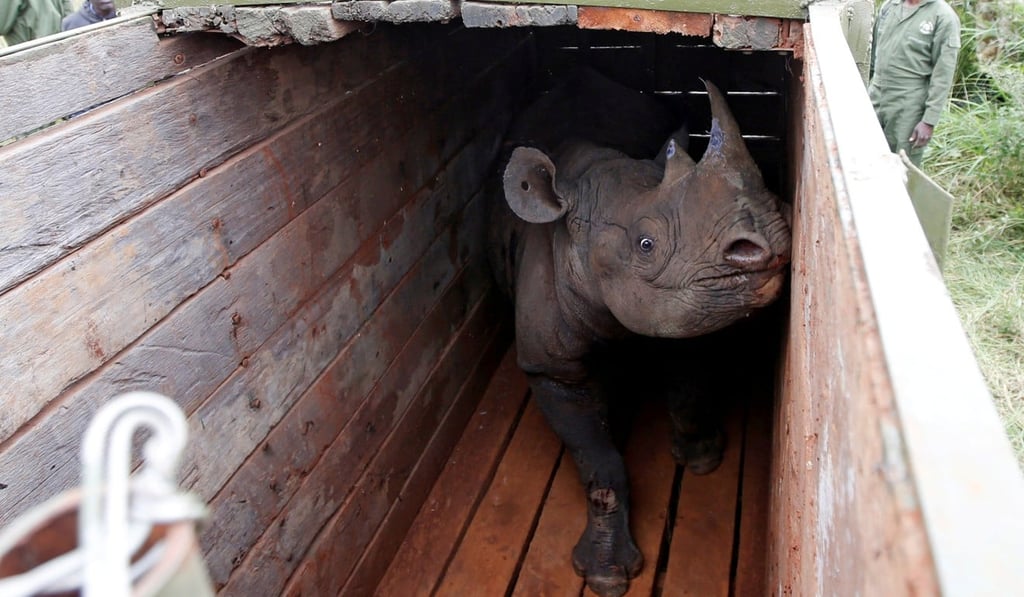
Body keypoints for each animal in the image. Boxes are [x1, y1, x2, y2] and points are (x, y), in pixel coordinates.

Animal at [487, 69, 791, 596]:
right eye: (646, 245)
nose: (771, 241)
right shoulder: (551, 368)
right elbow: (601, 463)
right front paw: (607, 575)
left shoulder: (684, 307)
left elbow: (688, 389)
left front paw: (702, 456)